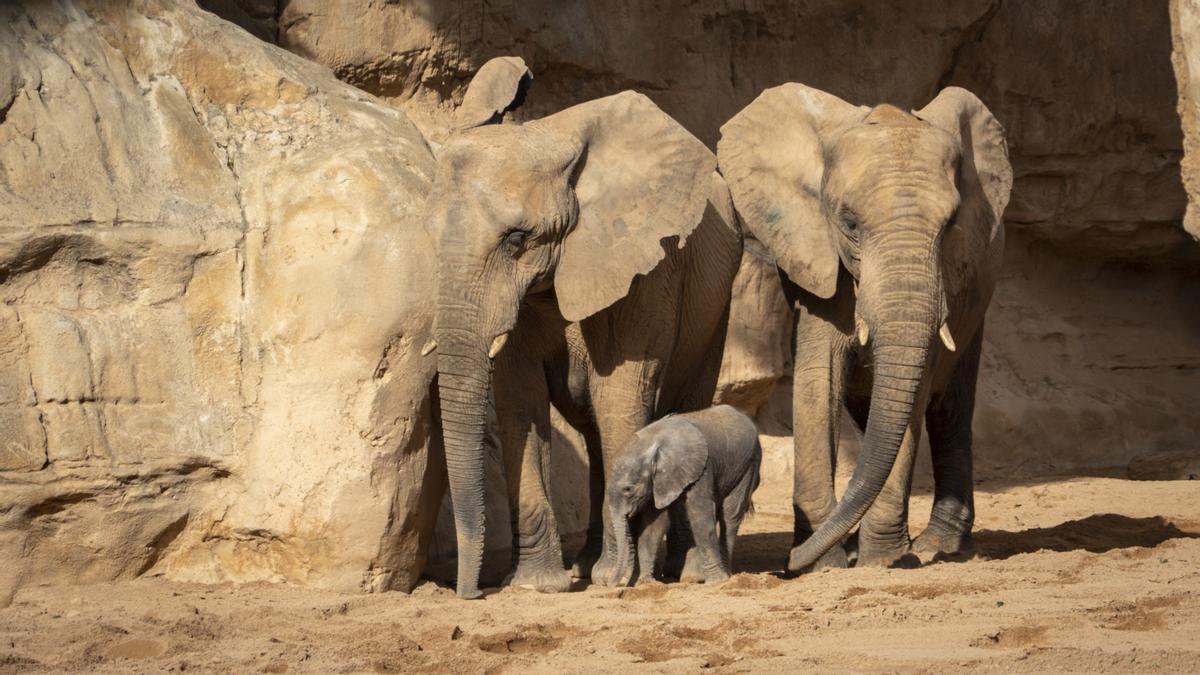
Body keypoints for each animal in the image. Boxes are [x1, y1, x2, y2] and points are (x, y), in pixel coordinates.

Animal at [422, 56, 739, 593]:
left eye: (516, 239)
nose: (469, 592)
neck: (552, 136)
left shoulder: (649, 270)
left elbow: (620, 396)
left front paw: (619, 579)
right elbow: (520, 400)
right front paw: (538, 586)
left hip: (717, 307)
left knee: (682, 406)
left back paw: (684, 572)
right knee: (593, 432)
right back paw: (591, 564)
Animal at [604, 398, 763, 583]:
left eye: (628, 489)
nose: (611, 584)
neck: (651, 442)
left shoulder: (701, 468)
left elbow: (700, 515)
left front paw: (716, 581)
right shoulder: (659, 482)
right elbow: (654, 524)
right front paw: (646, 583)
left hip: (748, 465)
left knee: (730, 515)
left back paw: (725, 577)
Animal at [715, 82, 1008, 566]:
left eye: (951, 225)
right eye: (849, 222)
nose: (787, 567)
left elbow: (914, 389)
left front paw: (882, 561)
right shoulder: (820, 259)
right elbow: (820, 379)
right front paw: (826, 562)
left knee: (947, 408)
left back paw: (938, 546)